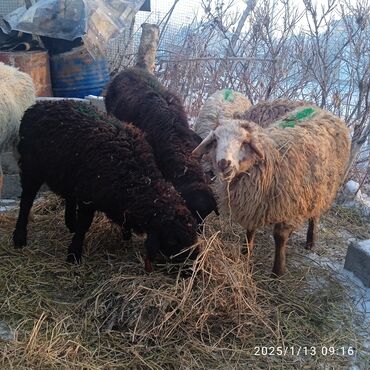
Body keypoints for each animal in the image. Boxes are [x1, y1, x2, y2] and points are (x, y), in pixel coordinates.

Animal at [13, 99, 199, 270]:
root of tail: (37, 105)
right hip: (31, 167)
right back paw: (19, 238)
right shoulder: (88, 198)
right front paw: (74, 254)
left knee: (69, 196)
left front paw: (125, 234)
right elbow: (84, 225)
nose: (191, 267)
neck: (136, 178)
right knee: (26, 200)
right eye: (172, 241)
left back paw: (70, 223)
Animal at [192, 105, 352, 276]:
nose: (224, 163)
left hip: (322, 190)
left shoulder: (287, 205)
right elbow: (250, 229)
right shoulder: (254, 204)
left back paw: (310, 241)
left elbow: (280, 238)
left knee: (315, 215)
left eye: (244, 142)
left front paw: (278, 271)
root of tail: (322, 110)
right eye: (216, 140)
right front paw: (246, 252)